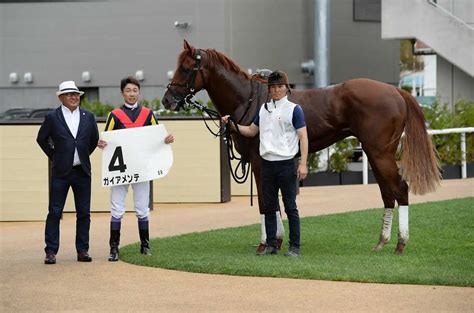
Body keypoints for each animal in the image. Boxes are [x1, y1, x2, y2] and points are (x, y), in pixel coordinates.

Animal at [163, 40, 440, 254]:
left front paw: (265, 244)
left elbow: (265, 202)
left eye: (186, 69)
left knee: (400, 189)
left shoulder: (259, 162)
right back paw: (382, 242)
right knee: (387, 193)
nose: (167, 100)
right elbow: (274, 202)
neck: (248, 100)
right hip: (375, 154)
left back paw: (401, 244)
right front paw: (277, 240)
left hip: (380, 153)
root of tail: (397, 92)